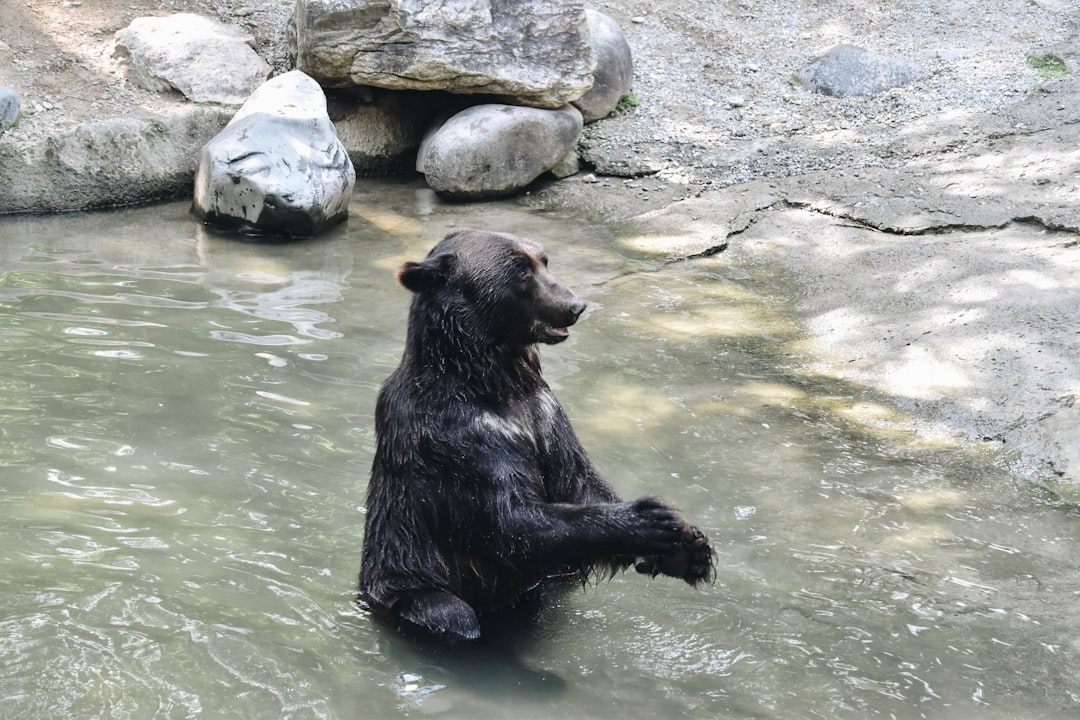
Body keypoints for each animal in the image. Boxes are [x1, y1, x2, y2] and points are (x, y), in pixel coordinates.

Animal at [360, 231, 717, 643]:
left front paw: (690, 548)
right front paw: (652, 519)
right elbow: (511, 521)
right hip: (408, 583)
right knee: (451, 612)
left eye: (544, 260)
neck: (492, 380)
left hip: (554, 577)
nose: (574, 305)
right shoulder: (454, 436)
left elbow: (577, 482)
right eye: (519, 270)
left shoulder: (543, 413)